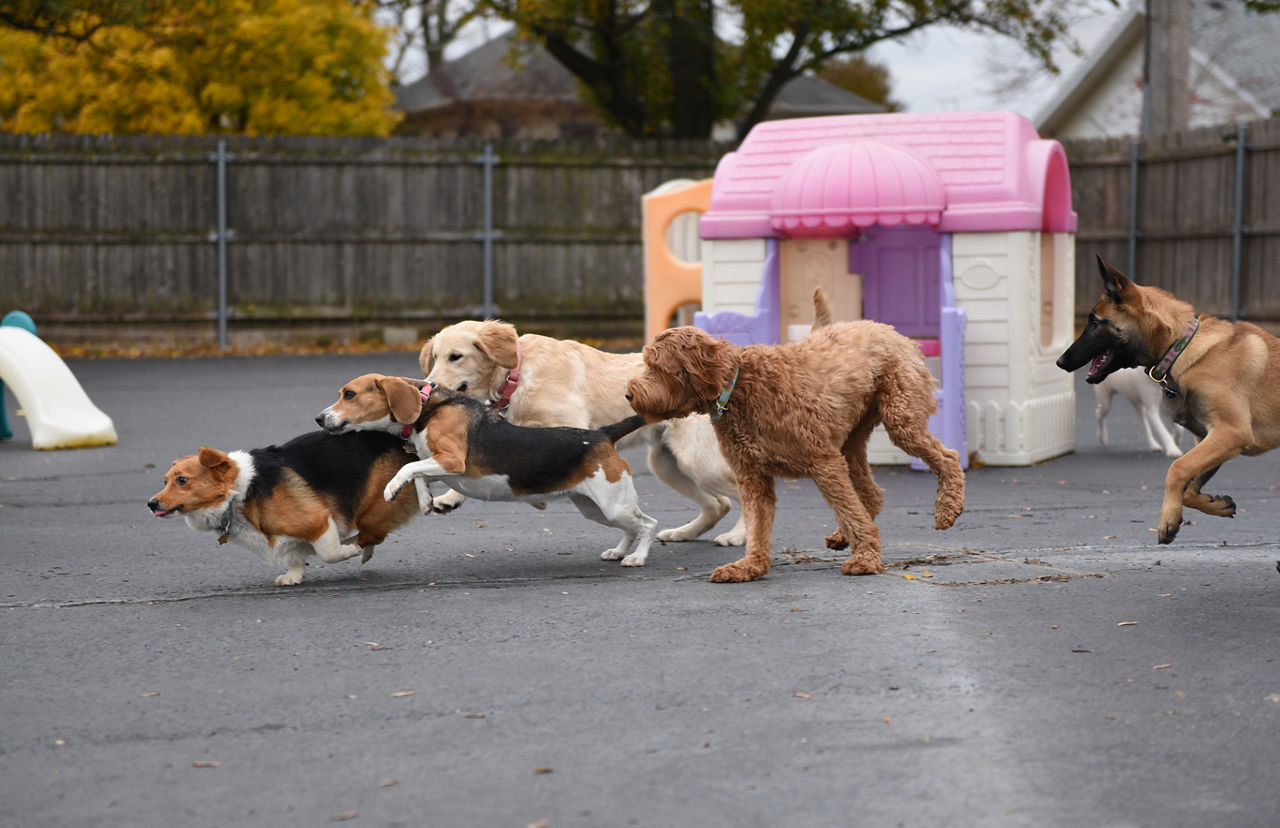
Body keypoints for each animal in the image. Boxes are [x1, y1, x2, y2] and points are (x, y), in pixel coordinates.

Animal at [147, 429, 419, 586]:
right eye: (165, 481)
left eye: (182, 480)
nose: (151, 504)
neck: (239, 494)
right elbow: (295, 557)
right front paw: (293, 576)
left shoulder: (318, 522)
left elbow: (329, 553)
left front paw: (348, 551)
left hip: (373, 508)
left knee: (373, 534)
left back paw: (357, 546)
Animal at [316, 376, 660, 565]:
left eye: (349, 394)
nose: (319, 418)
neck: (427, 406)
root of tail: (602, 434)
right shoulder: (443, 466)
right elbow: (420, 473)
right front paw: (426, 500)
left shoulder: (453, 460)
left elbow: (410, 467)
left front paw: (391, 488)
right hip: (596, 509)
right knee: (631, 528)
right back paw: (619, 552)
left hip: (613, 504)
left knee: (648, 524)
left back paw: (638, 558)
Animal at [419, 321, 747, 547]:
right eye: (435, 356)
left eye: (456, 357)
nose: (429, 386)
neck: (518, 375)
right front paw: (450, 496)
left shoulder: (570, 428)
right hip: (667, 464)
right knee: (719, 504)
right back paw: (684, 532)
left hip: (697, 460)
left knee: (744, 493)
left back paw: (739, 536)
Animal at [619, 307, 962, 586]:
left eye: (657, 368)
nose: (629, 394)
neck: (738, 389)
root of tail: (890, 330)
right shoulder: (753, 476)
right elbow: (758, 526)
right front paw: (751, 566)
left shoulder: (823, 462)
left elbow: (847, 509)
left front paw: (865, 558)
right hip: (850, 441)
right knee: (871, 495)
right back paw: (842, 535)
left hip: (900, 419)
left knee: (947, 457)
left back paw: (947, 511)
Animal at [1054, 255, 1280, 547]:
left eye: (1094, 322)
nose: (1060, 362)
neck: (1181, 348)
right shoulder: (1209, 438)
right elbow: (1189, 488)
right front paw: (1215, 505)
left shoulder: (1232, 432)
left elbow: (1177, 467)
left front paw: (1168, 519)